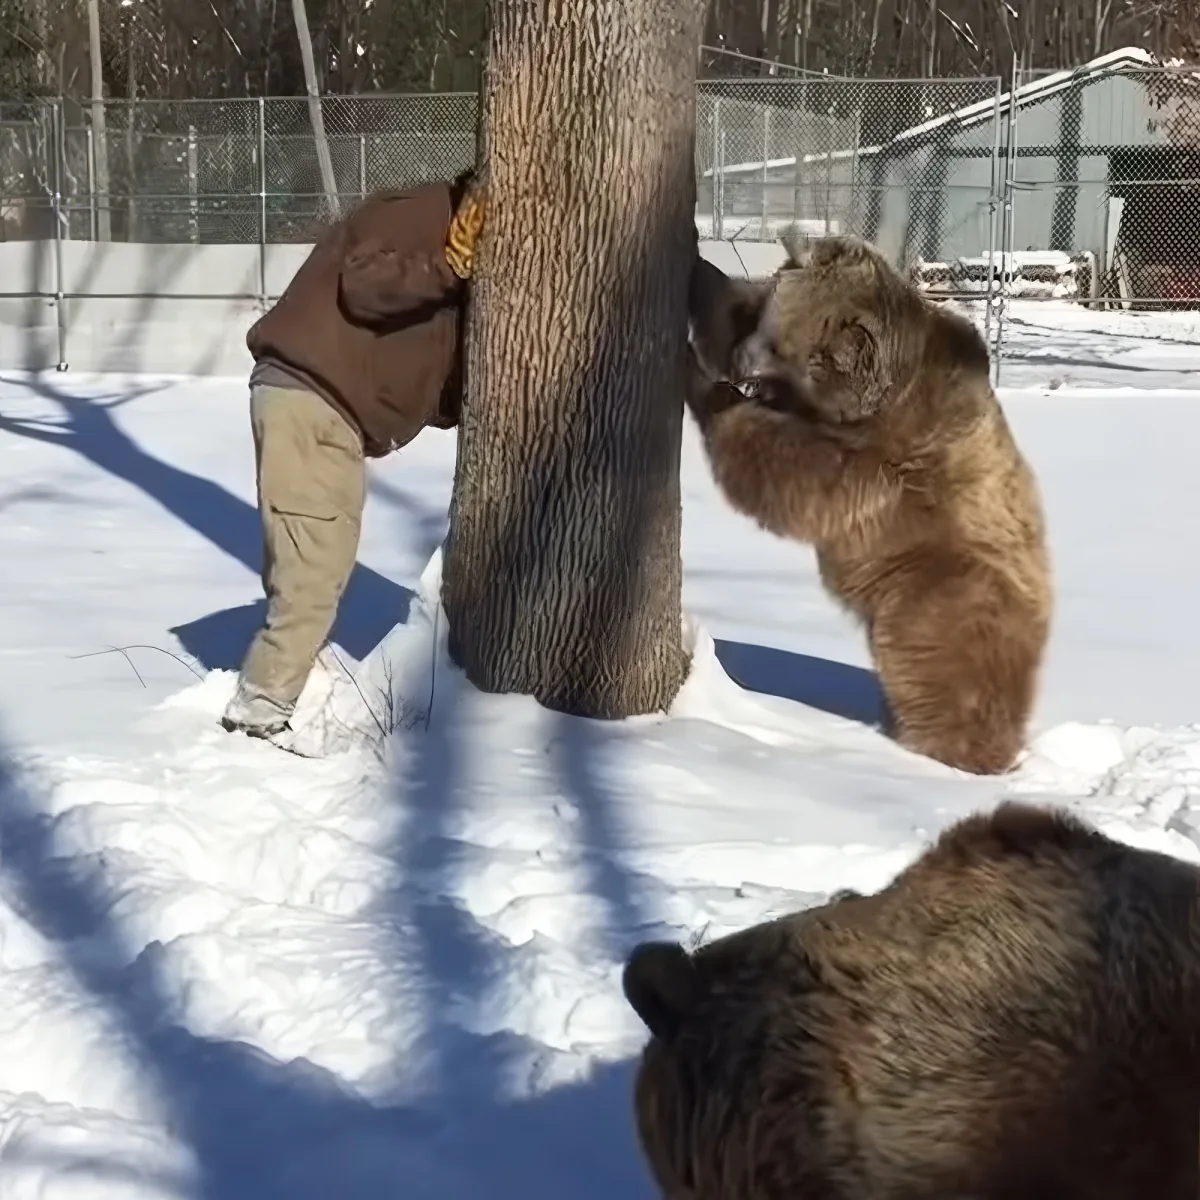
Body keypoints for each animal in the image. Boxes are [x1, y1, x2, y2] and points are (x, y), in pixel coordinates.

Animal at [685, 237, 1053, 776]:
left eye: (779, 345)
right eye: (764, 317)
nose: (741, 361)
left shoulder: (887, 461)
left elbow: (792, 478)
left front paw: (705, 385)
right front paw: (698, 271)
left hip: (941, 593)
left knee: (942, 679)